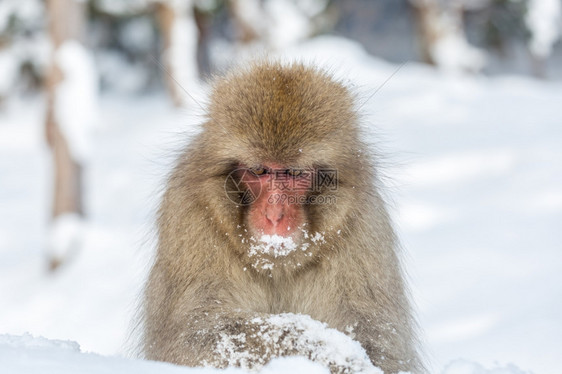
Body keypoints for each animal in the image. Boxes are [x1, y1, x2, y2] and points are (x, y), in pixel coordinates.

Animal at [142, 60, 422, 372]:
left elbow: (380, 342)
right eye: (259, 170)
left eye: (295, 172)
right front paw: (326, 349)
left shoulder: (363, 223)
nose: (275, 214)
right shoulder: (189, 216)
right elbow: (194, 332)